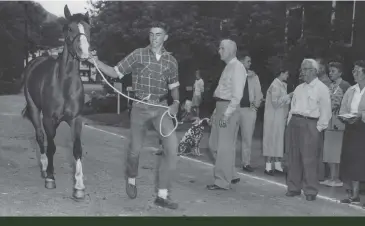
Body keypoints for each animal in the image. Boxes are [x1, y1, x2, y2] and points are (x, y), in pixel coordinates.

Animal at [20, 4, 91, 200]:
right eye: (69, 28)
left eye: (88, 29)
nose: (85, 52)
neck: (64, 84)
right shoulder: (48, 119)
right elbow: (51, 146)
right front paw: (51, 178)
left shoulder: (76, 119)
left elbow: (77, 149)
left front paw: (79, 187)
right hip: (35, 110)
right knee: (40, 137)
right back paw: (45, 169)